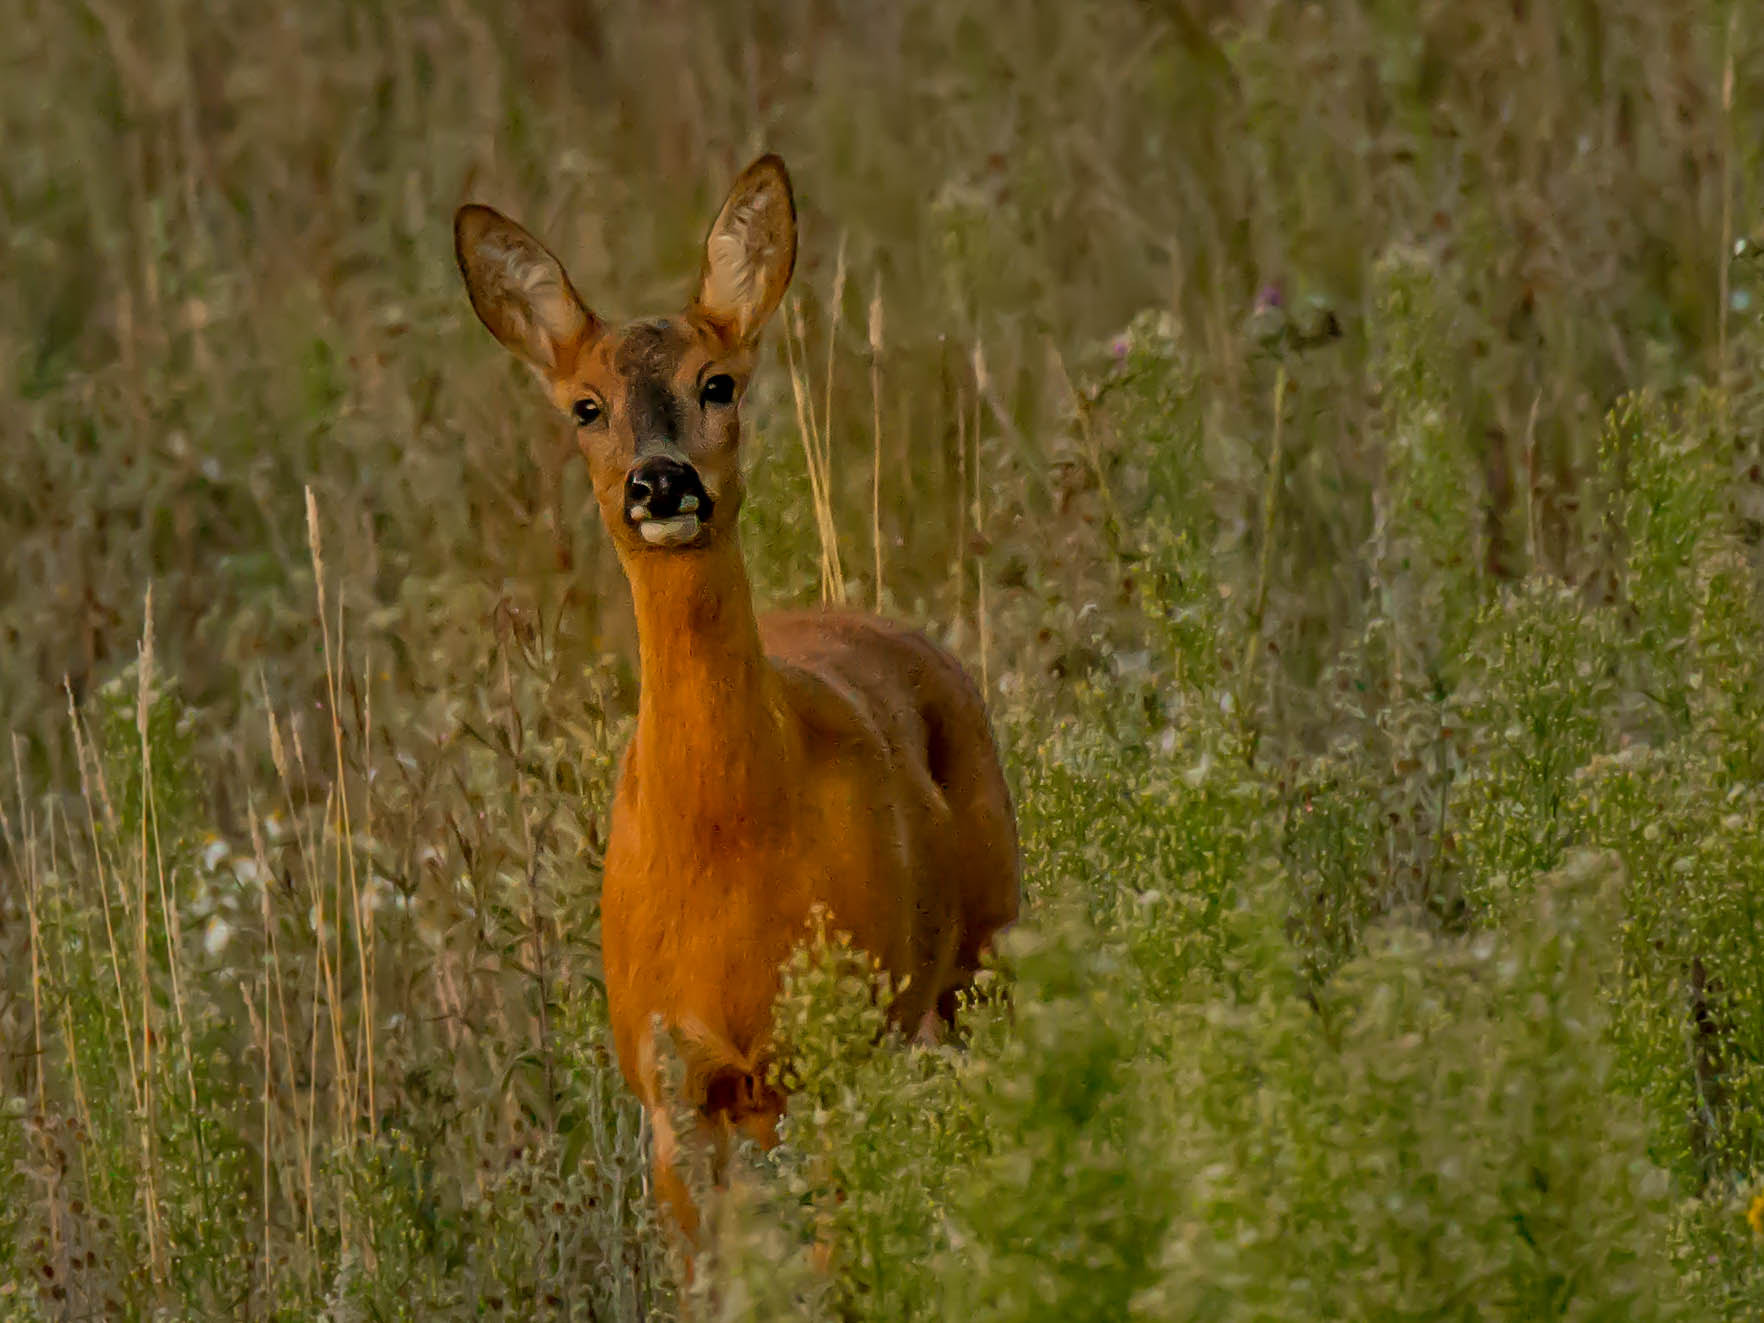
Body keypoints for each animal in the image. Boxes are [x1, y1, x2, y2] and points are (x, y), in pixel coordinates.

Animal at [453, 154, 1020, 1240]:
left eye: (716, 382)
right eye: (585, 406)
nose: (659, 481)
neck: (728, 836)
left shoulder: (842, 1045)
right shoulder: (670, 1083)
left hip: (986, 943)